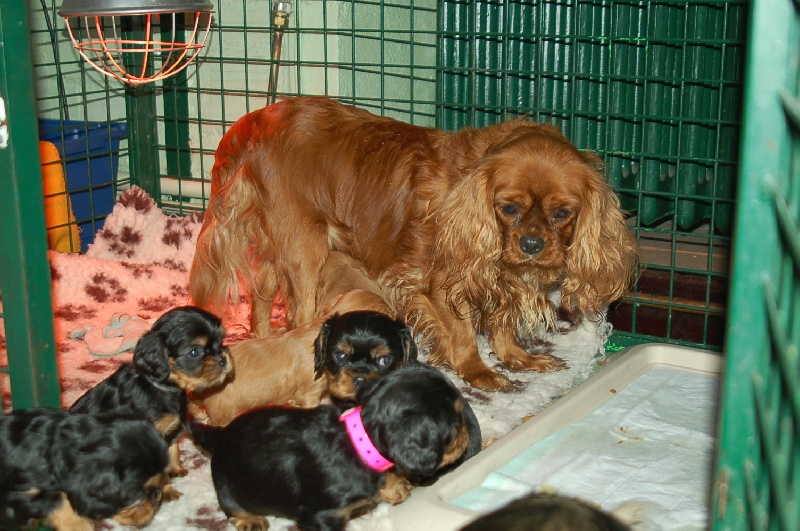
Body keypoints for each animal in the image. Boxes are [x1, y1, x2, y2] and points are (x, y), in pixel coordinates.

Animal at [69, 306, 233, 488]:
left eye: (221, 341)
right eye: (195, 352)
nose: (222, 358)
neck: (161, 387)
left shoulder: (173, 427)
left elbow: (174, 449)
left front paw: (176, 469)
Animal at [189, 95, 636, 392]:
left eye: (562, 214)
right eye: (508, 209)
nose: (530, 243)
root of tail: (258, 119)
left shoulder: (496, 276)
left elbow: (501, 323)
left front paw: (518, 358)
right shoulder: (438, 284)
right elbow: (463, 333)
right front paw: (480, 373)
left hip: (272, 248)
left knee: (262, 300)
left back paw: (262, 339)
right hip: (303, 249)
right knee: (301, 314)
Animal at [191, 366, 484, 531]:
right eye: (454, 421)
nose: (468, 434)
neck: (360, 441)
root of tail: (219, 435)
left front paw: (393, 486)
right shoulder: (322, 517)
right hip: (227, 485)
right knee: (232, 507)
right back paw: (249, 519)